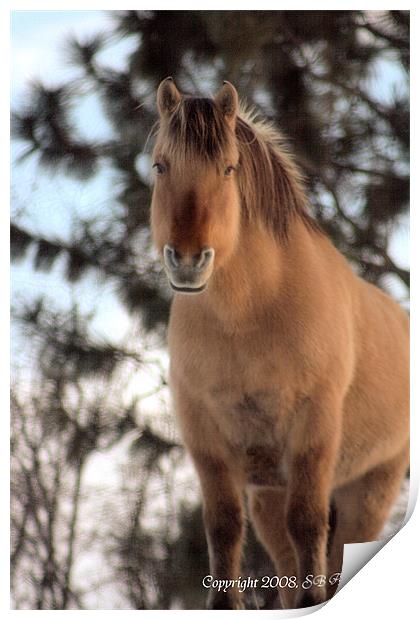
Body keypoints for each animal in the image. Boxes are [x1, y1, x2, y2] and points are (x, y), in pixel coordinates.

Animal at [149, 78, 408, 612]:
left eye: (228, 168)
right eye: (161, 165)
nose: (188, 261)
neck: (248, 319)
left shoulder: (313, 430)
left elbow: (308, 523)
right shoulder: (206, 439)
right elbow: (224, 527)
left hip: (369, 490)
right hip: (269, 492)